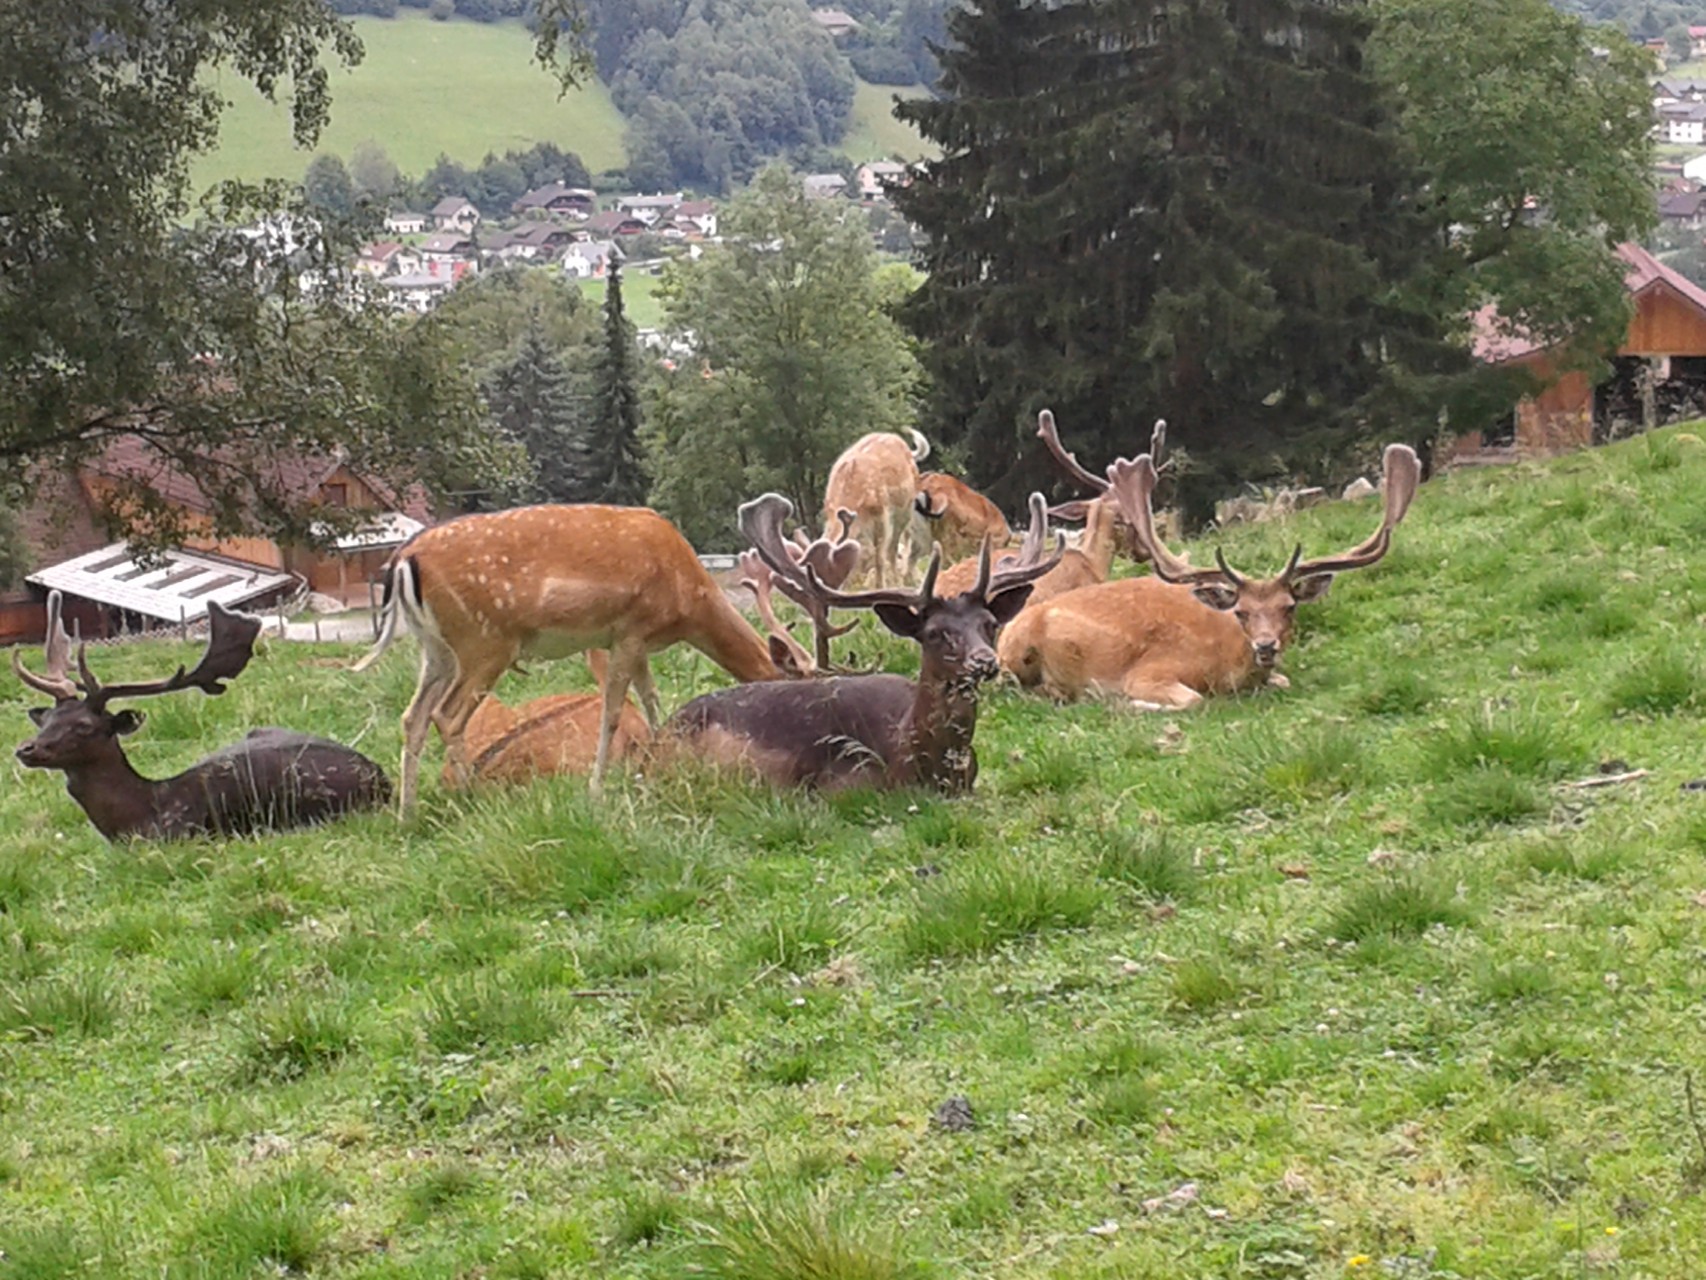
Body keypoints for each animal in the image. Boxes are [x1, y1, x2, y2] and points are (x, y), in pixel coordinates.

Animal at [11, 590, 390, 843]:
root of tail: (380, 774)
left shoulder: (186, 837)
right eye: (46, 719)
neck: (143, 813)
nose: (25, 749)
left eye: (84, 726)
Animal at [353, 508, 805, 815]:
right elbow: (614, 712)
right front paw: (597, 790)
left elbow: (651, 698)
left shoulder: (634, 643)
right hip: (484, 641)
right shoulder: (629, 630)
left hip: (435, 650)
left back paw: (408, 814)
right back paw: (470, 798)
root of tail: (404, 559)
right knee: (447, 716)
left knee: (413, 716)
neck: (690, 603)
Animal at [825, 431, 934, 590]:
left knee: (895, 546)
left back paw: (899, 581)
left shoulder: (882, 515)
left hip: (906, 509)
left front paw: (881, 587)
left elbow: (879, 556)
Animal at [996, 447, 1426, 713]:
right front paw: (1124, 703)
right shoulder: (1150, 672)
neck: (1227, 666)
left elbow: (1284, 681)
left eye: (1289, 607)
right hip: (1016, 656)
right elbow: (1193, 700)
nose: (1266, 646)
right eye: (1241, 611)